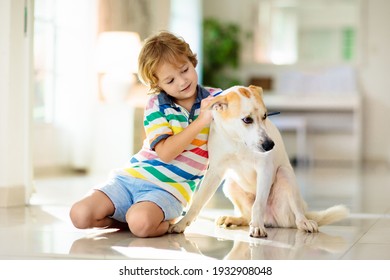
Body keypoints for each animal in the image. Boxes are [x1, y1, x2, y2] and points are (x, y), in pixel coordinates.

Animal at [169, 84, 348, 237]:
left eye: (265, 116)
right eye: (247, 119)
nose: (270, 145)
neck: (239, 141)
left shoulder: (265, 169)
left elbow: (259, 204)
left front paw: (257, 227)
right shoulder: (215, 171)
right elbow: (198, 202)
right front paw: (181, 224)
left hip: (285, 176)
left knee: (296, 212)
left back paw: (303, 222)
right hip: (230, 184)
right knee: (246, 216)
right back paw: (234, 219)